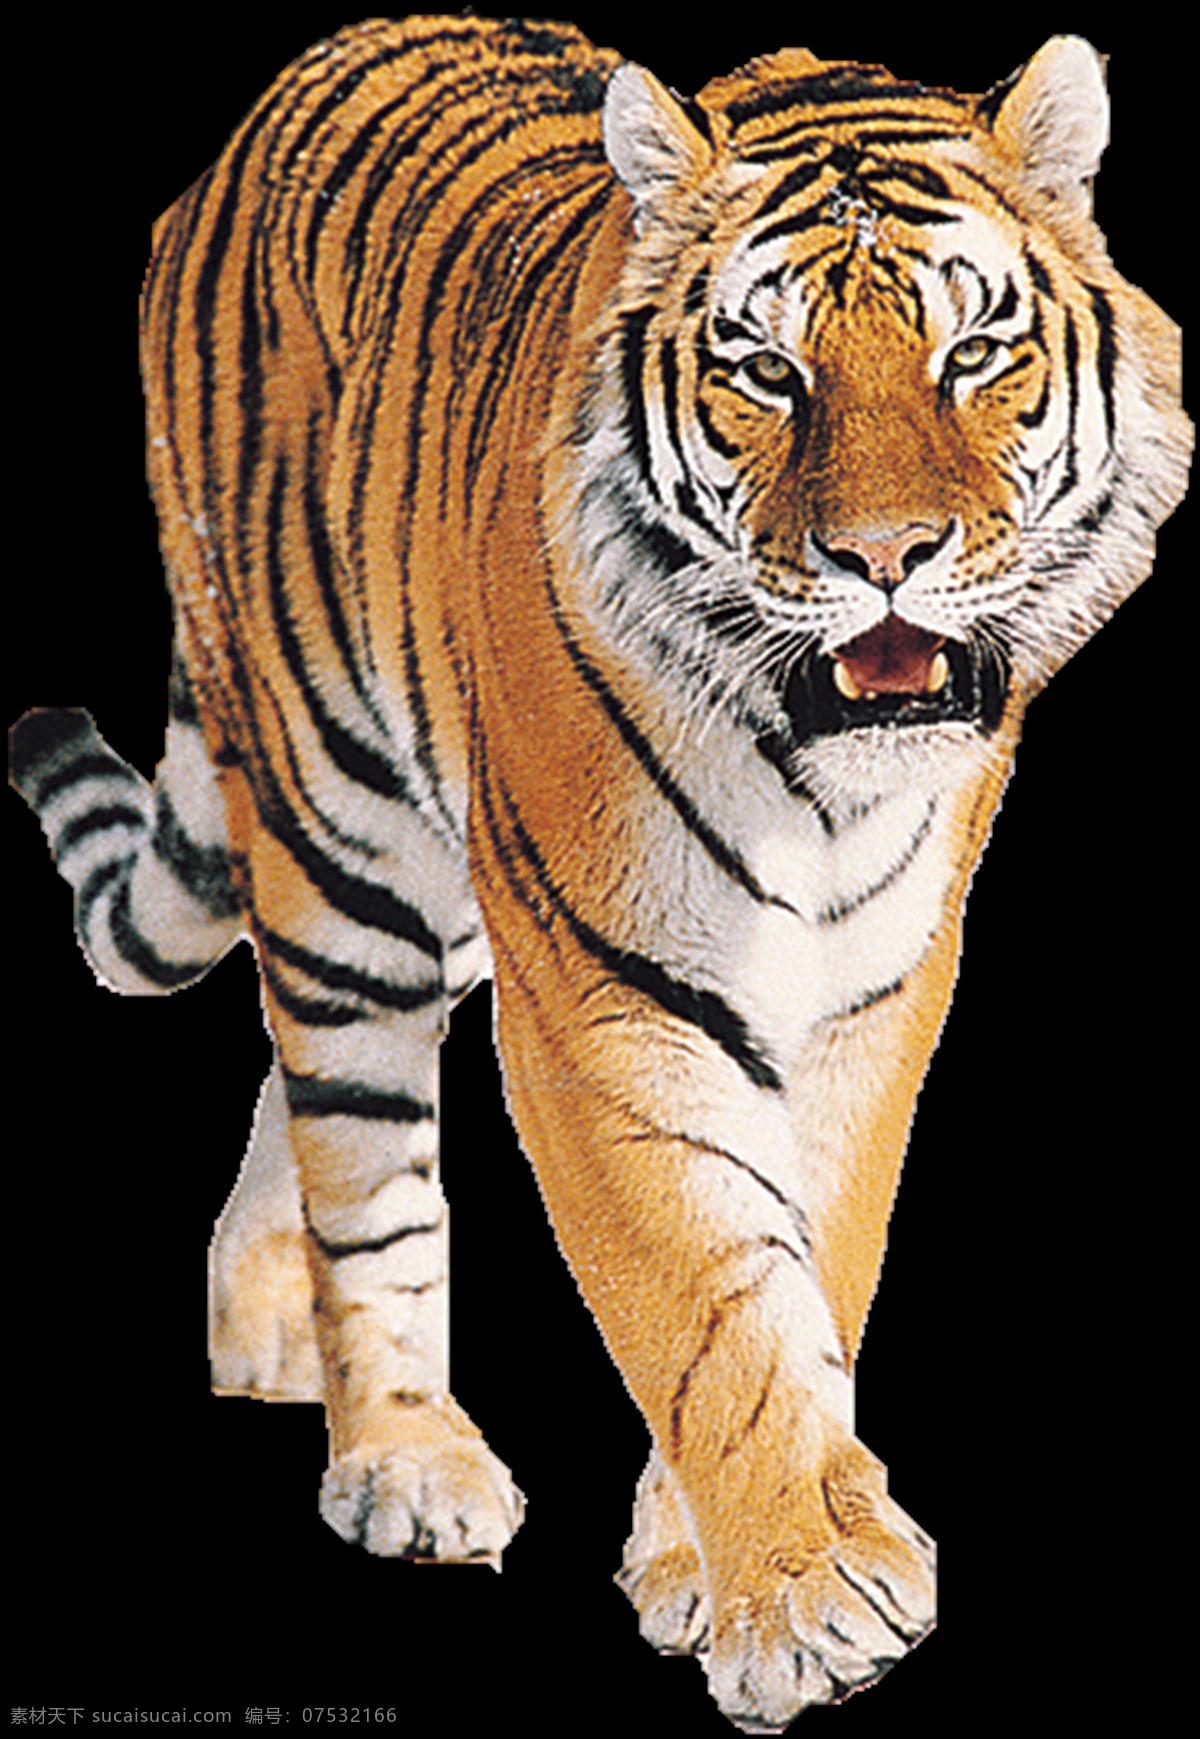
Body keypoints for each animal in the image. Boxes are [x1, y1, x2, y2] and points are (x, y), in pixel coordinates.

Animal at [8, 14, 1189, 1729]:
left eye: (973, 355)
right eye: (768, 370)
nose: (884, 558)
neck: (820, 778)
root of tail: (288, 84)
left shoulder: (874, 985)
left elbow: (809, 1259)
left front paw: (707, 1557)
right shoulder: (604, 986)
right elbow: (700, 1281)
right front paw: (801, 1595)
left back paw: (266, 1315)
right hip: (346, 828)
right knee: (356, 1126)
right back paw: (400, 1451)